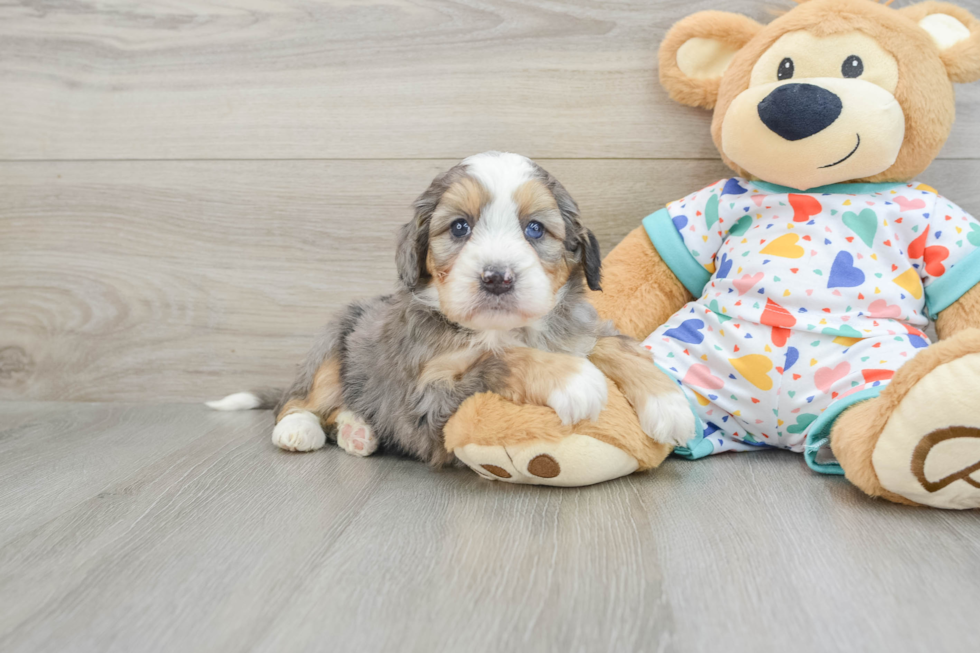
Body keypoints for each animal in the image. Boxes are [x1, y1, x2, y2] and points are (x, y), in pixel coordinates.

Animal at [211, 152, 692, 464]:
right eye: (459, 227)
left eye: (535, 229)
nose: (497, 277)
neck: (504, 327)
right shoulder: (429, 396)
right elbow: (500, 356)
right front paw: (575, 379)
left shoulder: (578, 328)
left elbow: (614, 345)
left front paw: (669, 403)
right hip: (334, 340)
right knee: (300, 400)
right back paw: (300, 430)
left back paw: (357, 431)